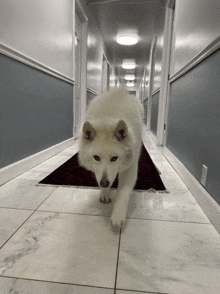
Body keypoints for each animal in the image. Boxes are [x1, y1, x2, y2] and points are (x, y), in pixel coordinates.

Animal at [78, 88, 144, 230]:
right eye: (96, 158)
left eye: (114, 158)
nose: (104, 183)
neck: (106, 120)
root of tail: (120, 90)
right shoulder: (98, 171)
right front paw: (104, 193)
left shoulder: (130, 167)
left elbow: (123, 192)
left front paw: (118, 216)